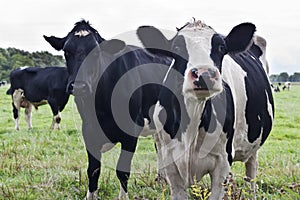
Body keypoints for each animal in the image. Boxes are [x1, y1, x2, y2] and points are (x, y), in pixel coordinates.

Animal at [43, 19, 172, 198]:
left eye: (96, 53)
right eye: (66, 52)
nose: (79, 86)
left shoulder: (131, 130)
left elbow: (123, 171)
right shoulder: (88, 130)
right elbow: (93, 170)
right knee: (160, 145)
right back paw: (162, 179)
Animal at [137, 19, 276, 200]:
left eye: (221, 47)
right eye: (176, 47)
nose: (204, 73)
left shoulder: (222, 162)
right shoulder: (170, 161)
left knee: (251, 170)